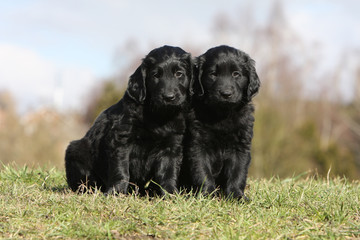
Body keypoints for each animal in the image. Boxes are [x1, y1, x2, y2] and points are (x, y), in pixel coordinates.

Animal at [65, 45, 193, 195]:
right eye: (155, 75)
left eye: (179, 73)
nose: (169, 97)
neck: (158, 115)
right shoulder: (121, 139)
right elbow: (121, 170)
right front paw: (116, 192)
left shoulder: (172, 145)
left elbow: (168, 172)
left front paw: (170, 193)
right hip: (75, 150)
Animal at [181, 45, 260, 199]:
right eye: (213, 74)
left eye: (236, 74)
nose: (226, 94)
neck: (222, 114)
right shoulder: (198, 145)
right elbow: (202, 171)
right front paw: (207, 195)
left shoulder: (240, 146)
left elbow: (237, 173)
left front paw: (237, 196)